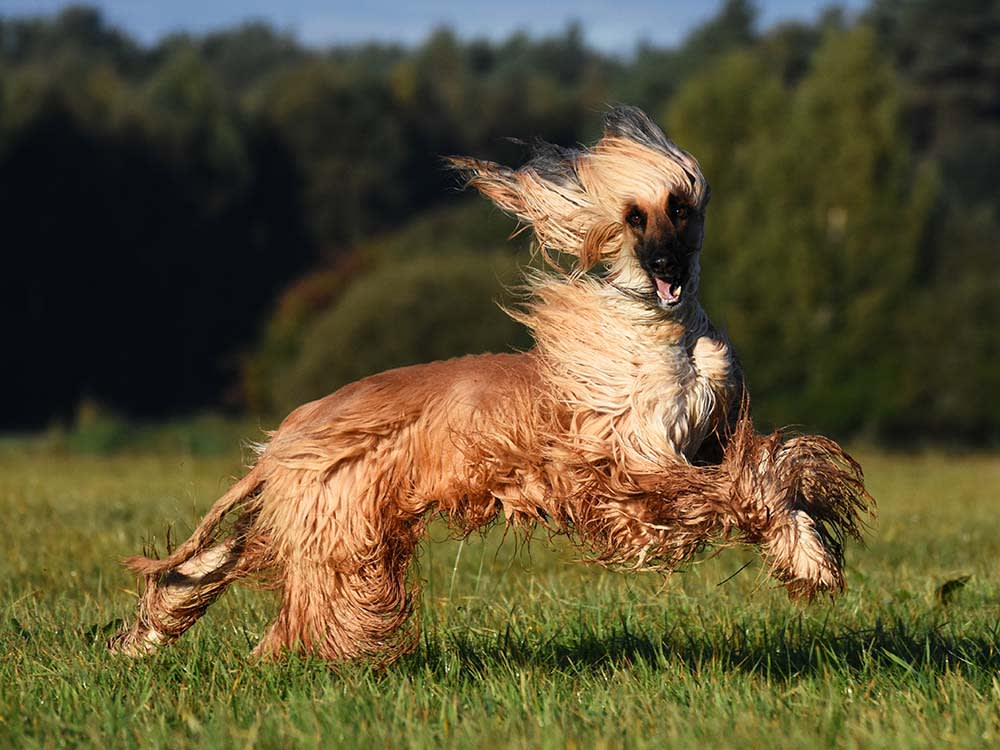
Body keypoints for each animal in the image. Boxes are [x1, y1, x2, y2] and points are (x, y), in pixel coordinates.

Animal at [109, 104, 872, 664]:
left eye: (678, 207)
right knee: (296, 598)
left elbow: (771, 467)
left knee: (211, 563)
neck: (665, 337)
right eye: (634, 216)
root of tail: (290, 431)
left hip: (317, 516)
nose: (665, 265)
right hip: (340, 525)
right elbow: (744, 486)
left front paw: (811, 535)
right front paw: (807, 556)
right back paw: (291, 654)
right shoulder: (632, 463)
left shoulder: (701, 437)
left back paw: (142, 640)